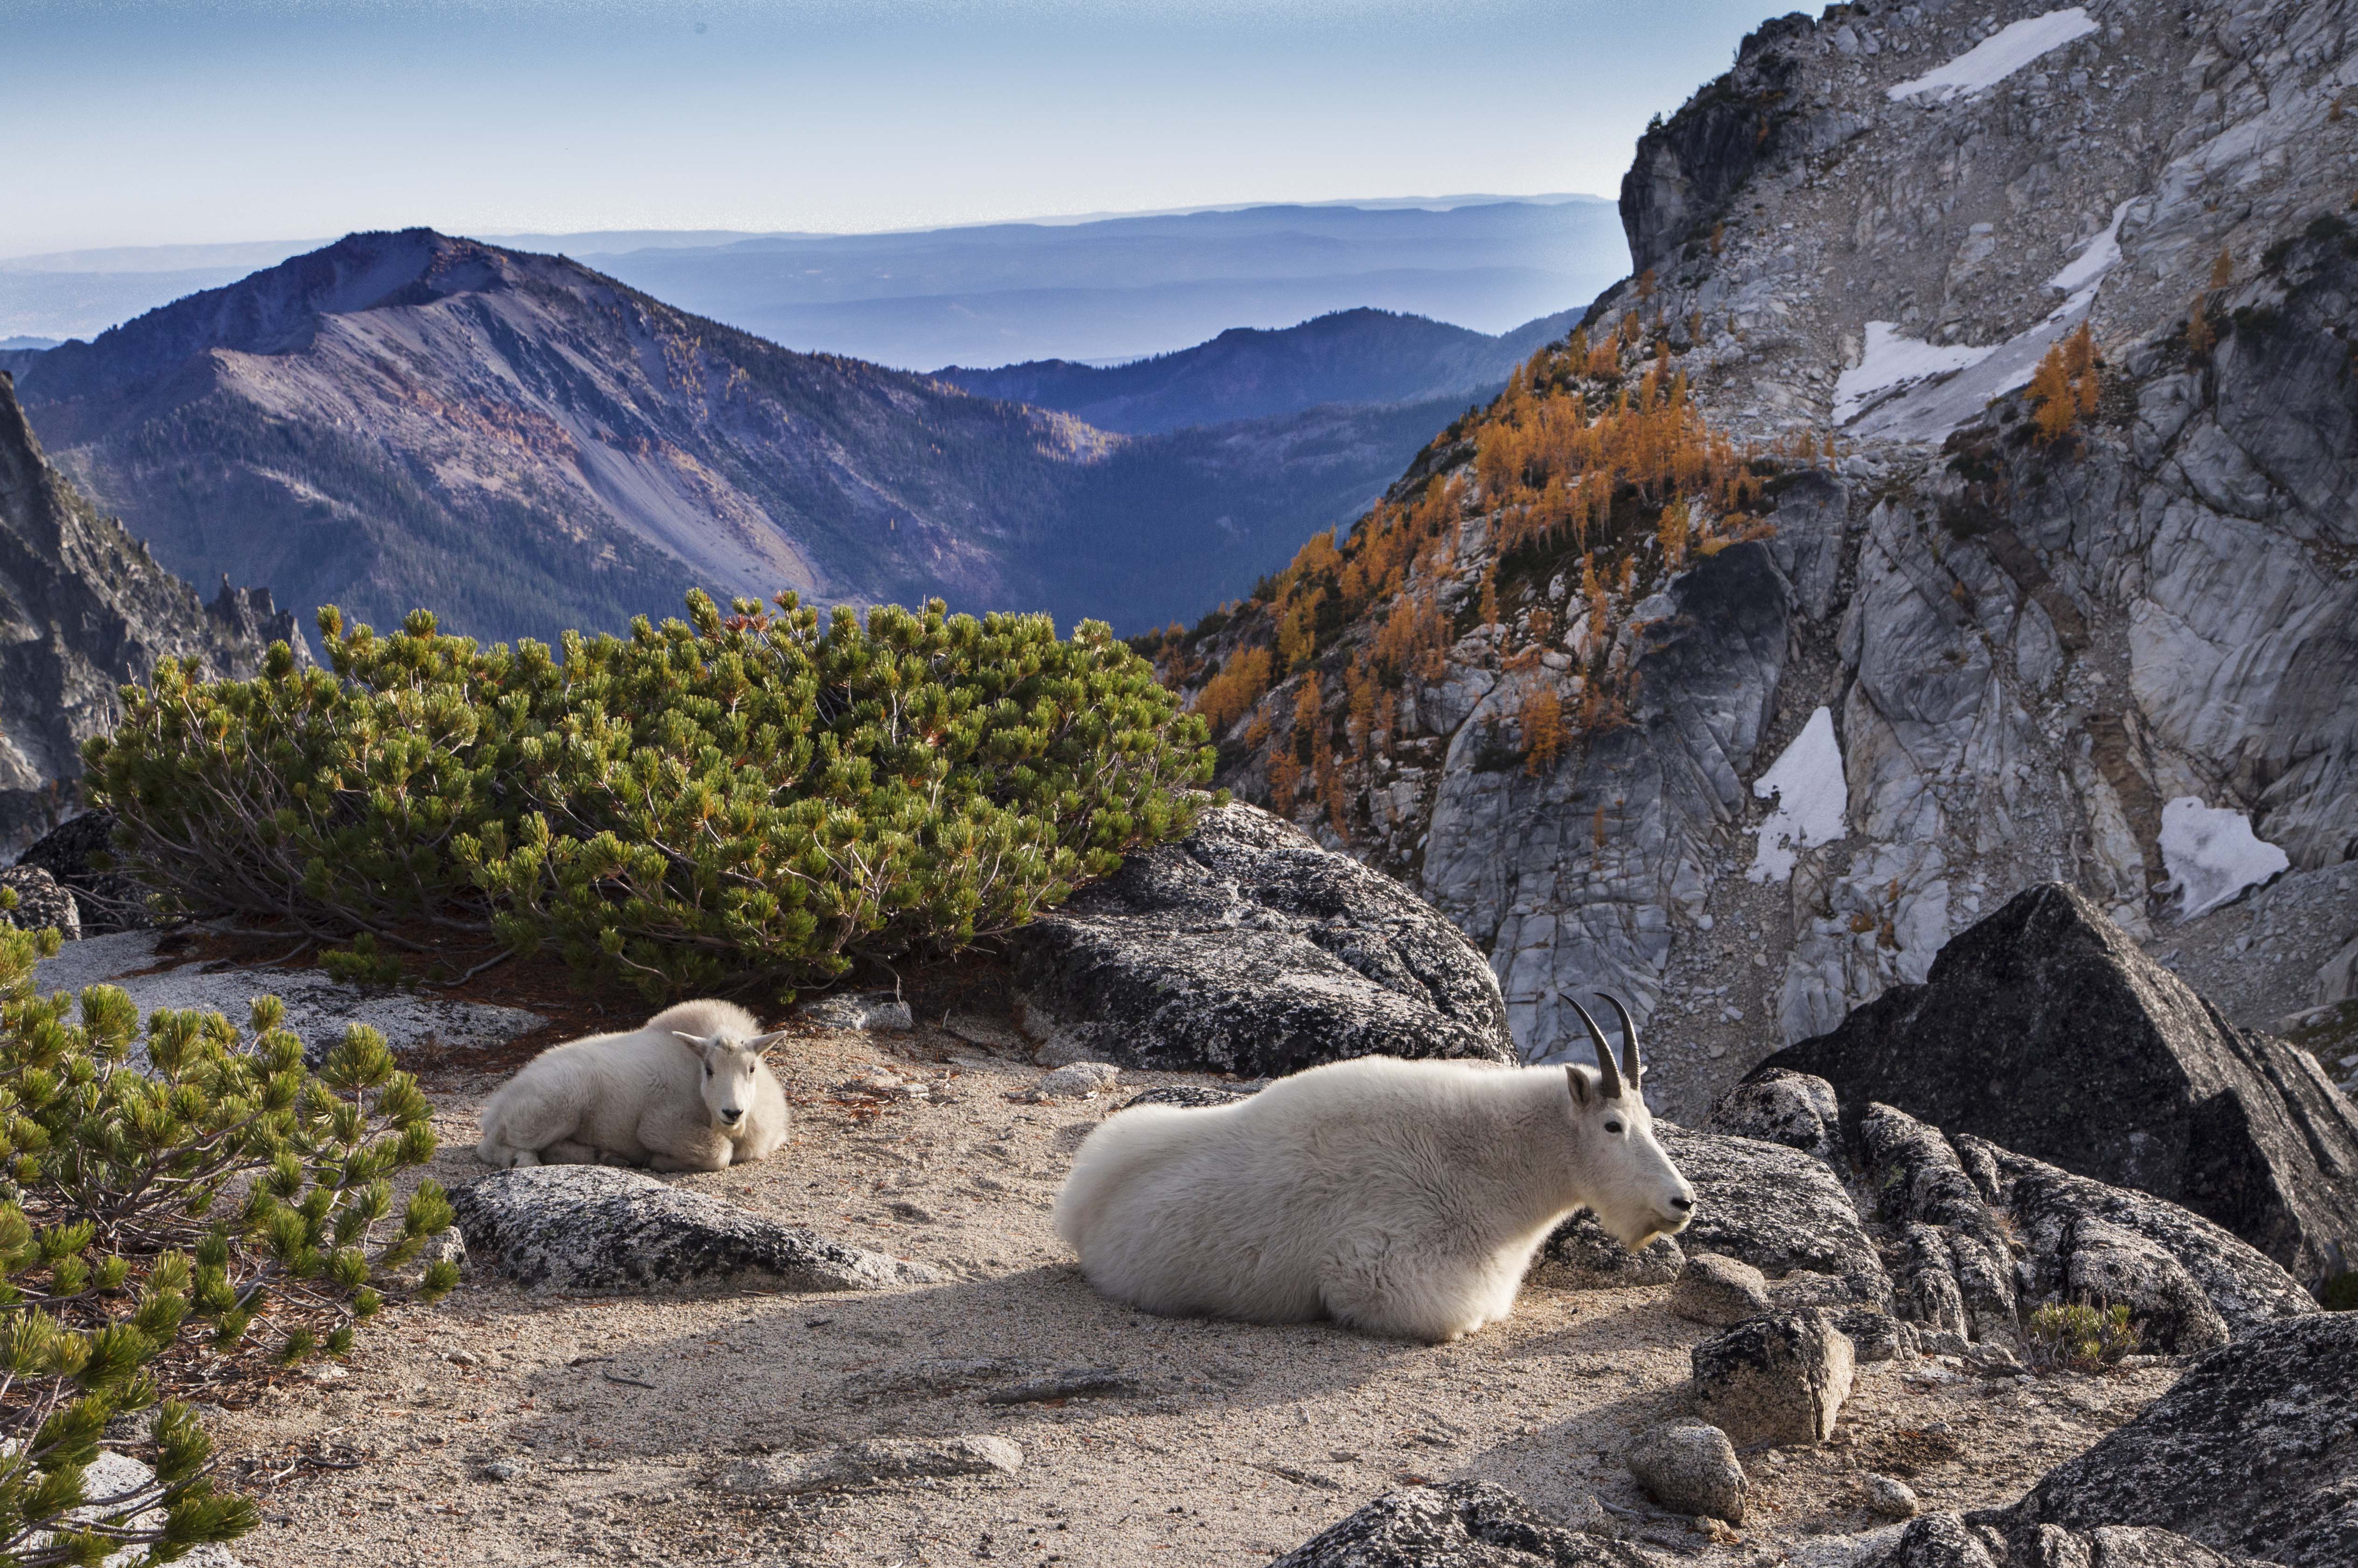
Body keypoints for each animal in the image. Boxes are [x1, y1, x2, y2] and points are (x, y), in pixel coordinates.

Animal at [475, 999, 790, 1172]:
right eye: (709, 1071)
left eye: (751, 1069)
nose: (732, 1112)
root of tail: (499, 1102)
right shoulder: (659, 1124)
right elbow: (719, 1153)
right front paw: (659, 1161)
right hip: (558, 1104)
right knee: (491, 1146)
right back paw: (523, 1160)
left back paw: (605, 1156)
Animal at [1053, 996, 1692, 1343]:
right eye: (1612, 1126)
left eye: (1648, 1119)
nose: (1681, 1201)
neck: (1487, 1162)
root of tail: (1077, 1208)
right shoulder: (1376, 1271)